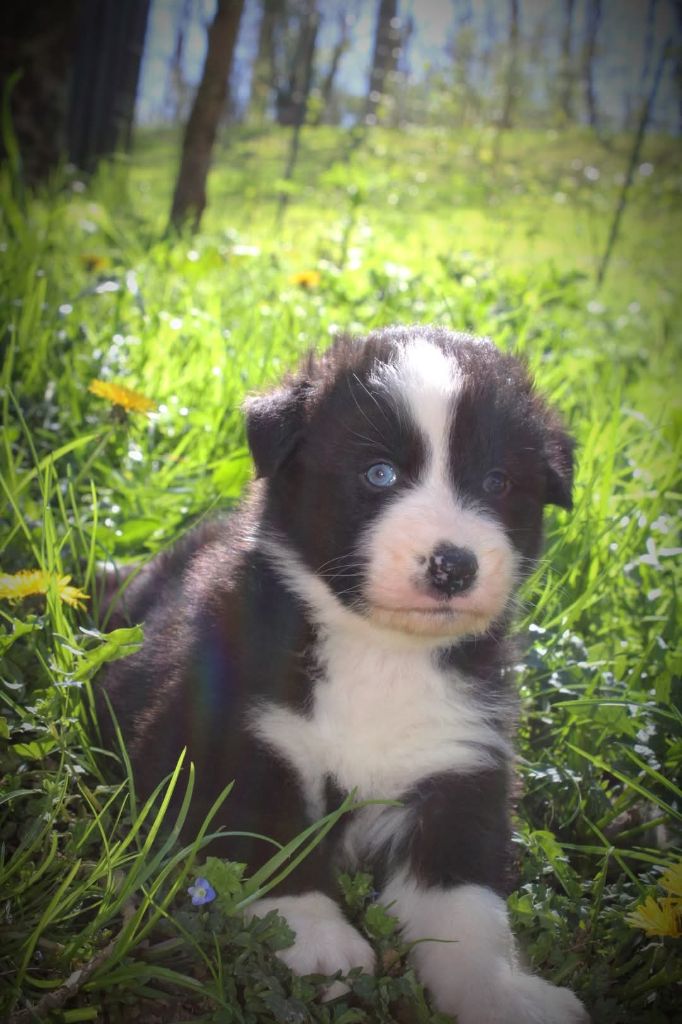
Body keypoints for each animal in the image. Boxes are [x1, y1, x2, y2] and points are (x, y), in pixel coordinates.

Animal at [99, 325, 588, 1023]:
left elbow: (468, 905)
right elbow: (262, 834)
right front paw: (318, 942)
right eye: (379, 474)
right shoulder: (227, 734)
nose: (454, 565)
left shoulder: (461, 771)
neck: (381, 651)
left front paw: (502, 993)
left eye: (497, 481)